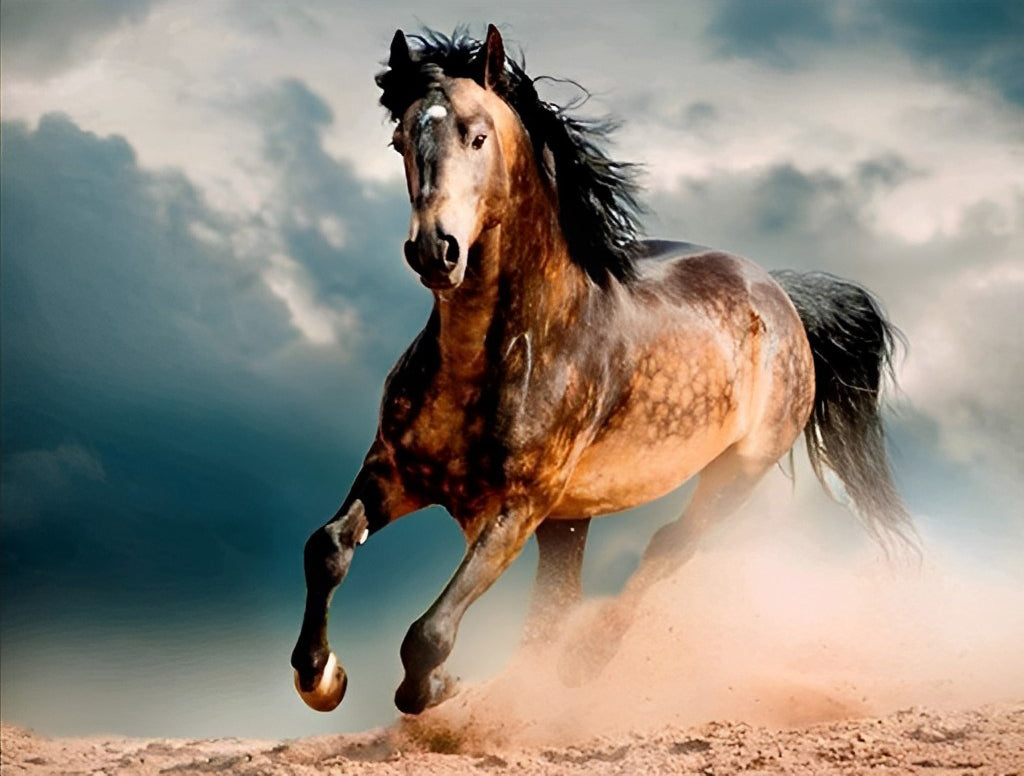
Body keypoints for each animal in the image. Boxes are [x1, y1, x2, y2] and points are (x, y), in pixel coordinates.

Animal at [290, 25, 913, 716]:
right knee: (558, 602)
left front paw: (441, 687)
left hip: (735, 473)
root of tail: (779, 293)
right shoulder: (395, 472)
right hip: (571, 518)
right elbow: (327, 547)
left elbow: (428, 634)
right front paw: (321, 677)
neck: (493, 357)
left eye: (477, 136)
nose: (435, 250)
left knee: (666, 547)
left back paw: (584, 661)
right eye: (400, 140)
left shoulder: (516, 508)